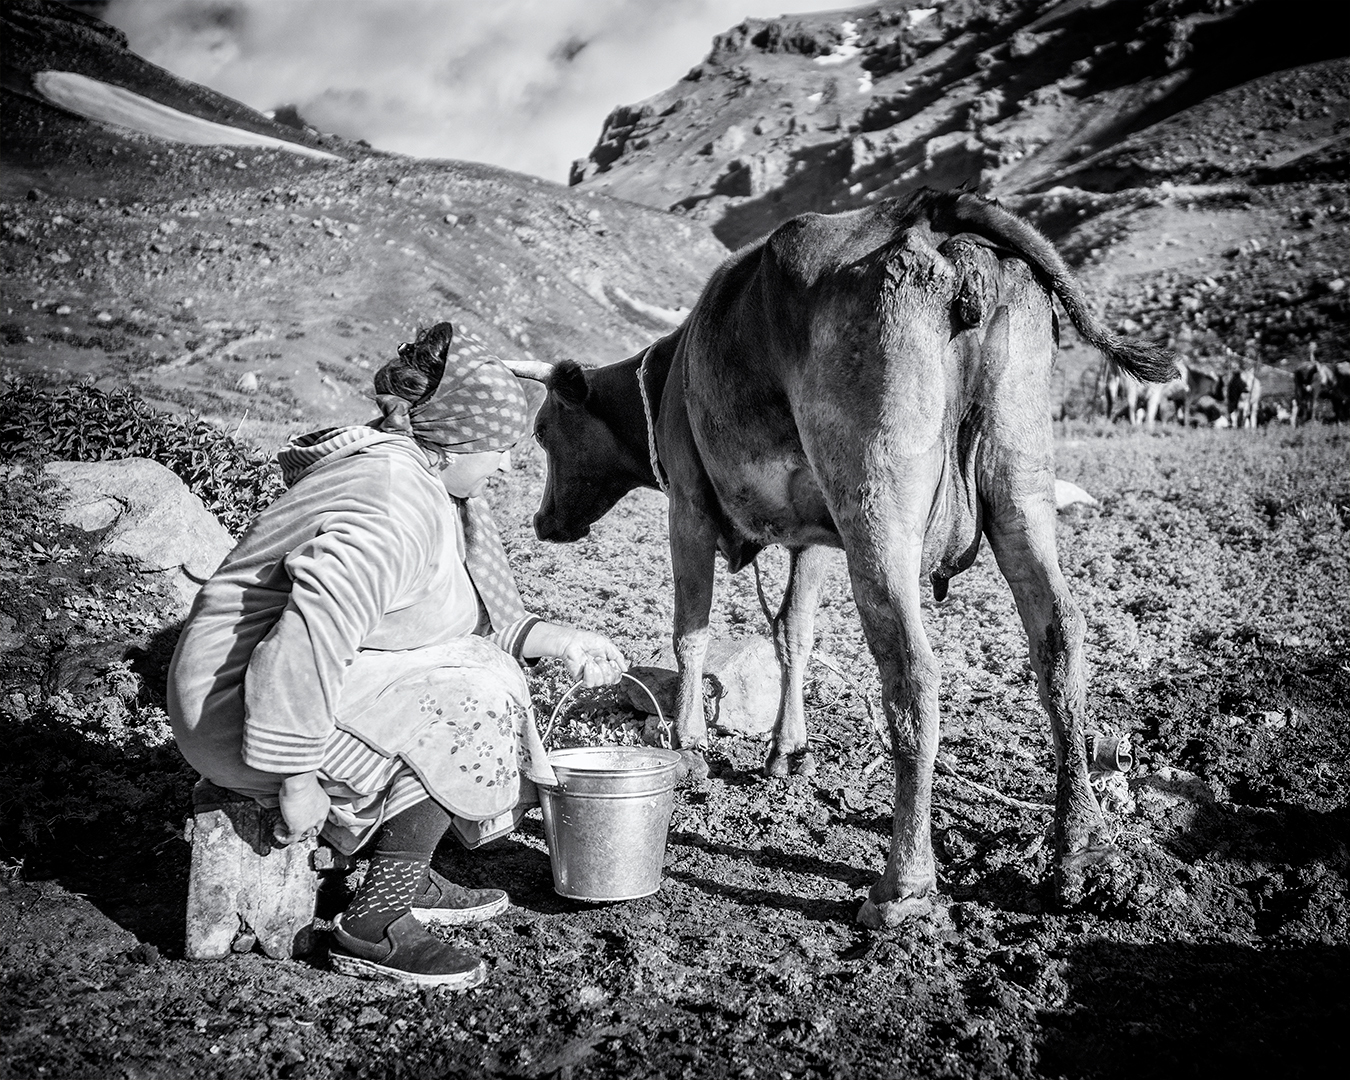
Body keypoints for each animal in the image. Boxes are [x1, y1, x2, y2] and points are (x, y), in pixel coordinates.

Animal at [506, 189, 1176, 927]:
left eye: (543, 429)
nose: (542, 522)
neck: (668, 375)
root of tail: (931, 215)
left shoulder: (689, 505)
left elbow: (690, 632)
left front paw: (690, 748)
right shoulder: (812, 533)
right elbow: (792, 633)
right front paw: (786, 753)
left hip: (875, 506)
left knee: (912, 671)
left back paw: (904, 886)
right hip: (1018, 481)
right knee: (1059, 636)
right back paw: (1081, 847)